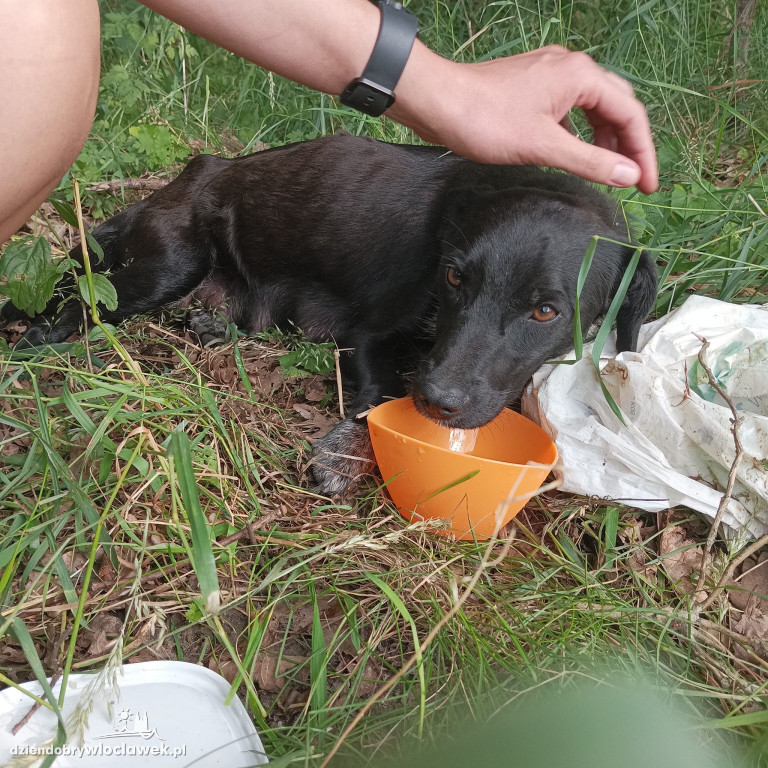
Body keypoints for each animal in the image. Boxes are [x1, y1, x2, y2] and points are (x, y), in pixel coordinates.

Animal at [3, 135, 656, 496]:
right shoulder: (371, 335)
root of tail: (192, 171)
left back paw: (212, 325)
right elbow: (380, 398)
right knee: (80, 296)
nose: (437, 401)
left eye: (546, 311)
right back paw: (37, 339)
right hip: (168, 261)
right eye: (452, 277)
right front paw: (347, 455)